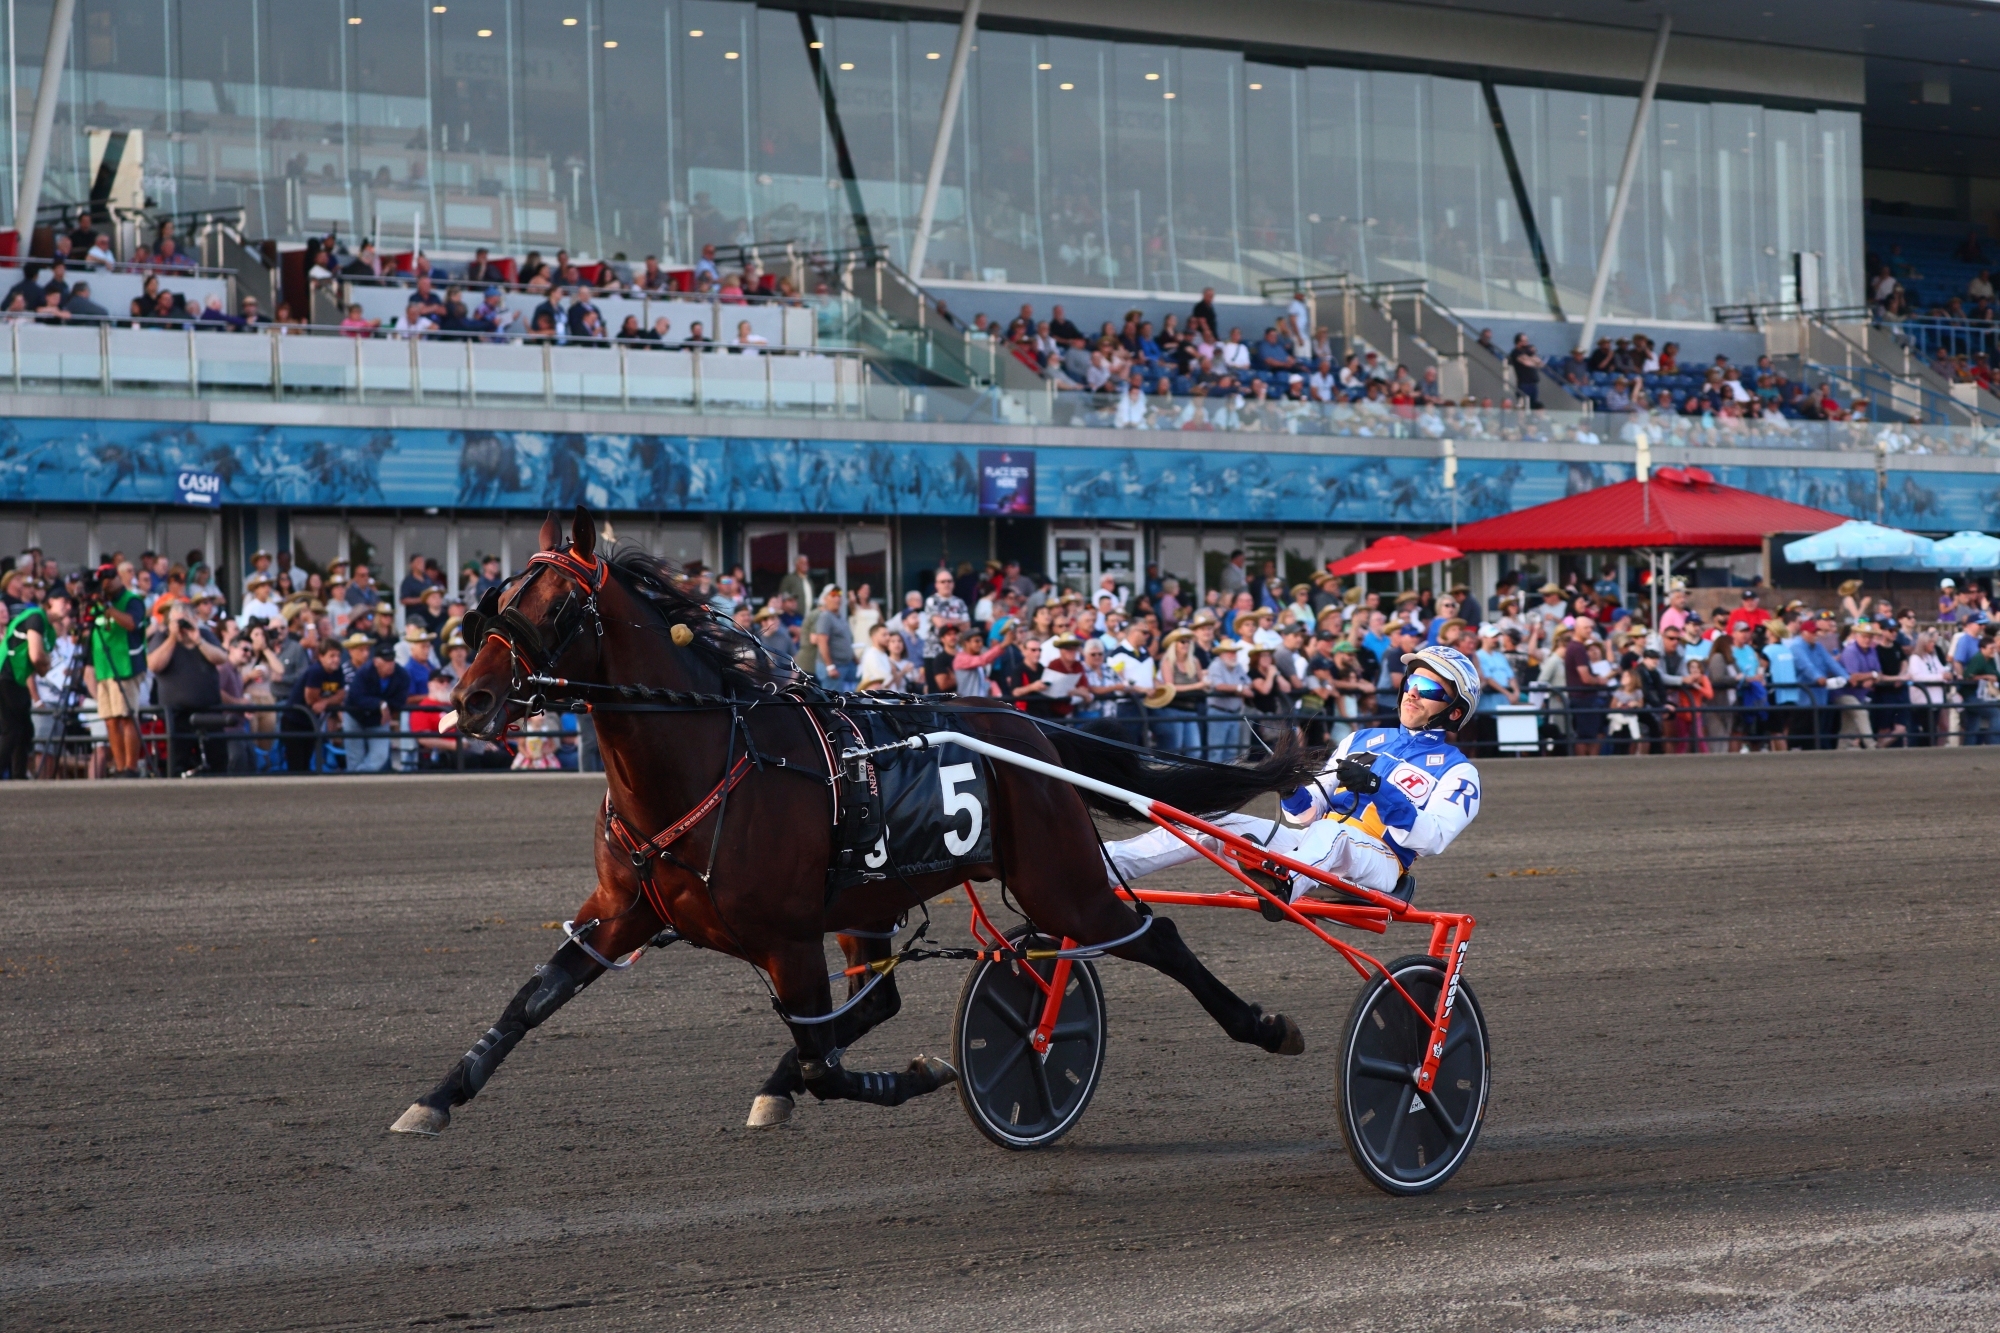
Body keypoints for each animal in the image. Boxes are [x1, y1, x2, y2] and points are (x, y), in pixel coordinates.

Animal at [390, 506, 1328, 1128]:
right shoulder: (622, 911)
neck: (708, 756)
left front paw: (911, 1075)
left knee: (1151, 934)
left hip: (1060, 876)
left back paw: (1267, 1024)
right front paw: (436, 1096)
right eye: (495, 597)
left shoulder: (785, 936)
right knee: (879, 999)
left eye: (557, 607)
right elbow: (533, 997)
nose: (471, 700)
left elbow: (820, 1057)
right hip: (877, 899)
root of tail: (1028, 728)